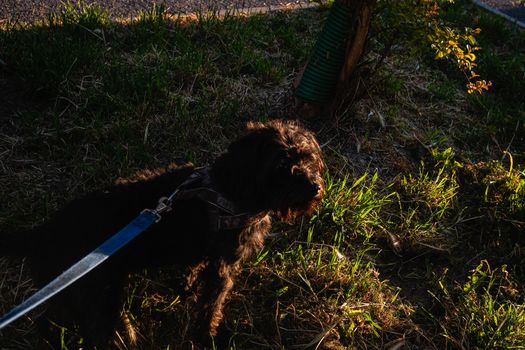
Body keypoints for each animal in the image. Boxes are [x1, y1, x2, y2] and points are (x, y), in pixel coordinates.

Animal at [1, 119, 324, 348]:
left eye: (308, 158)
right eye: (281, 163)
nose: (315, 187)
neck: (232, 187)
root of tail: (44, 231)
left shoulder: (207, 253)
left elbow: (195, 270)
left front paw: (187, 288)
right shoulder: (223, 265)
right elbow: (212, 303)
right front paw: (208, 336)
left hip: (66, 293)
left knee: (48, 322)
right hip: (98, 298)